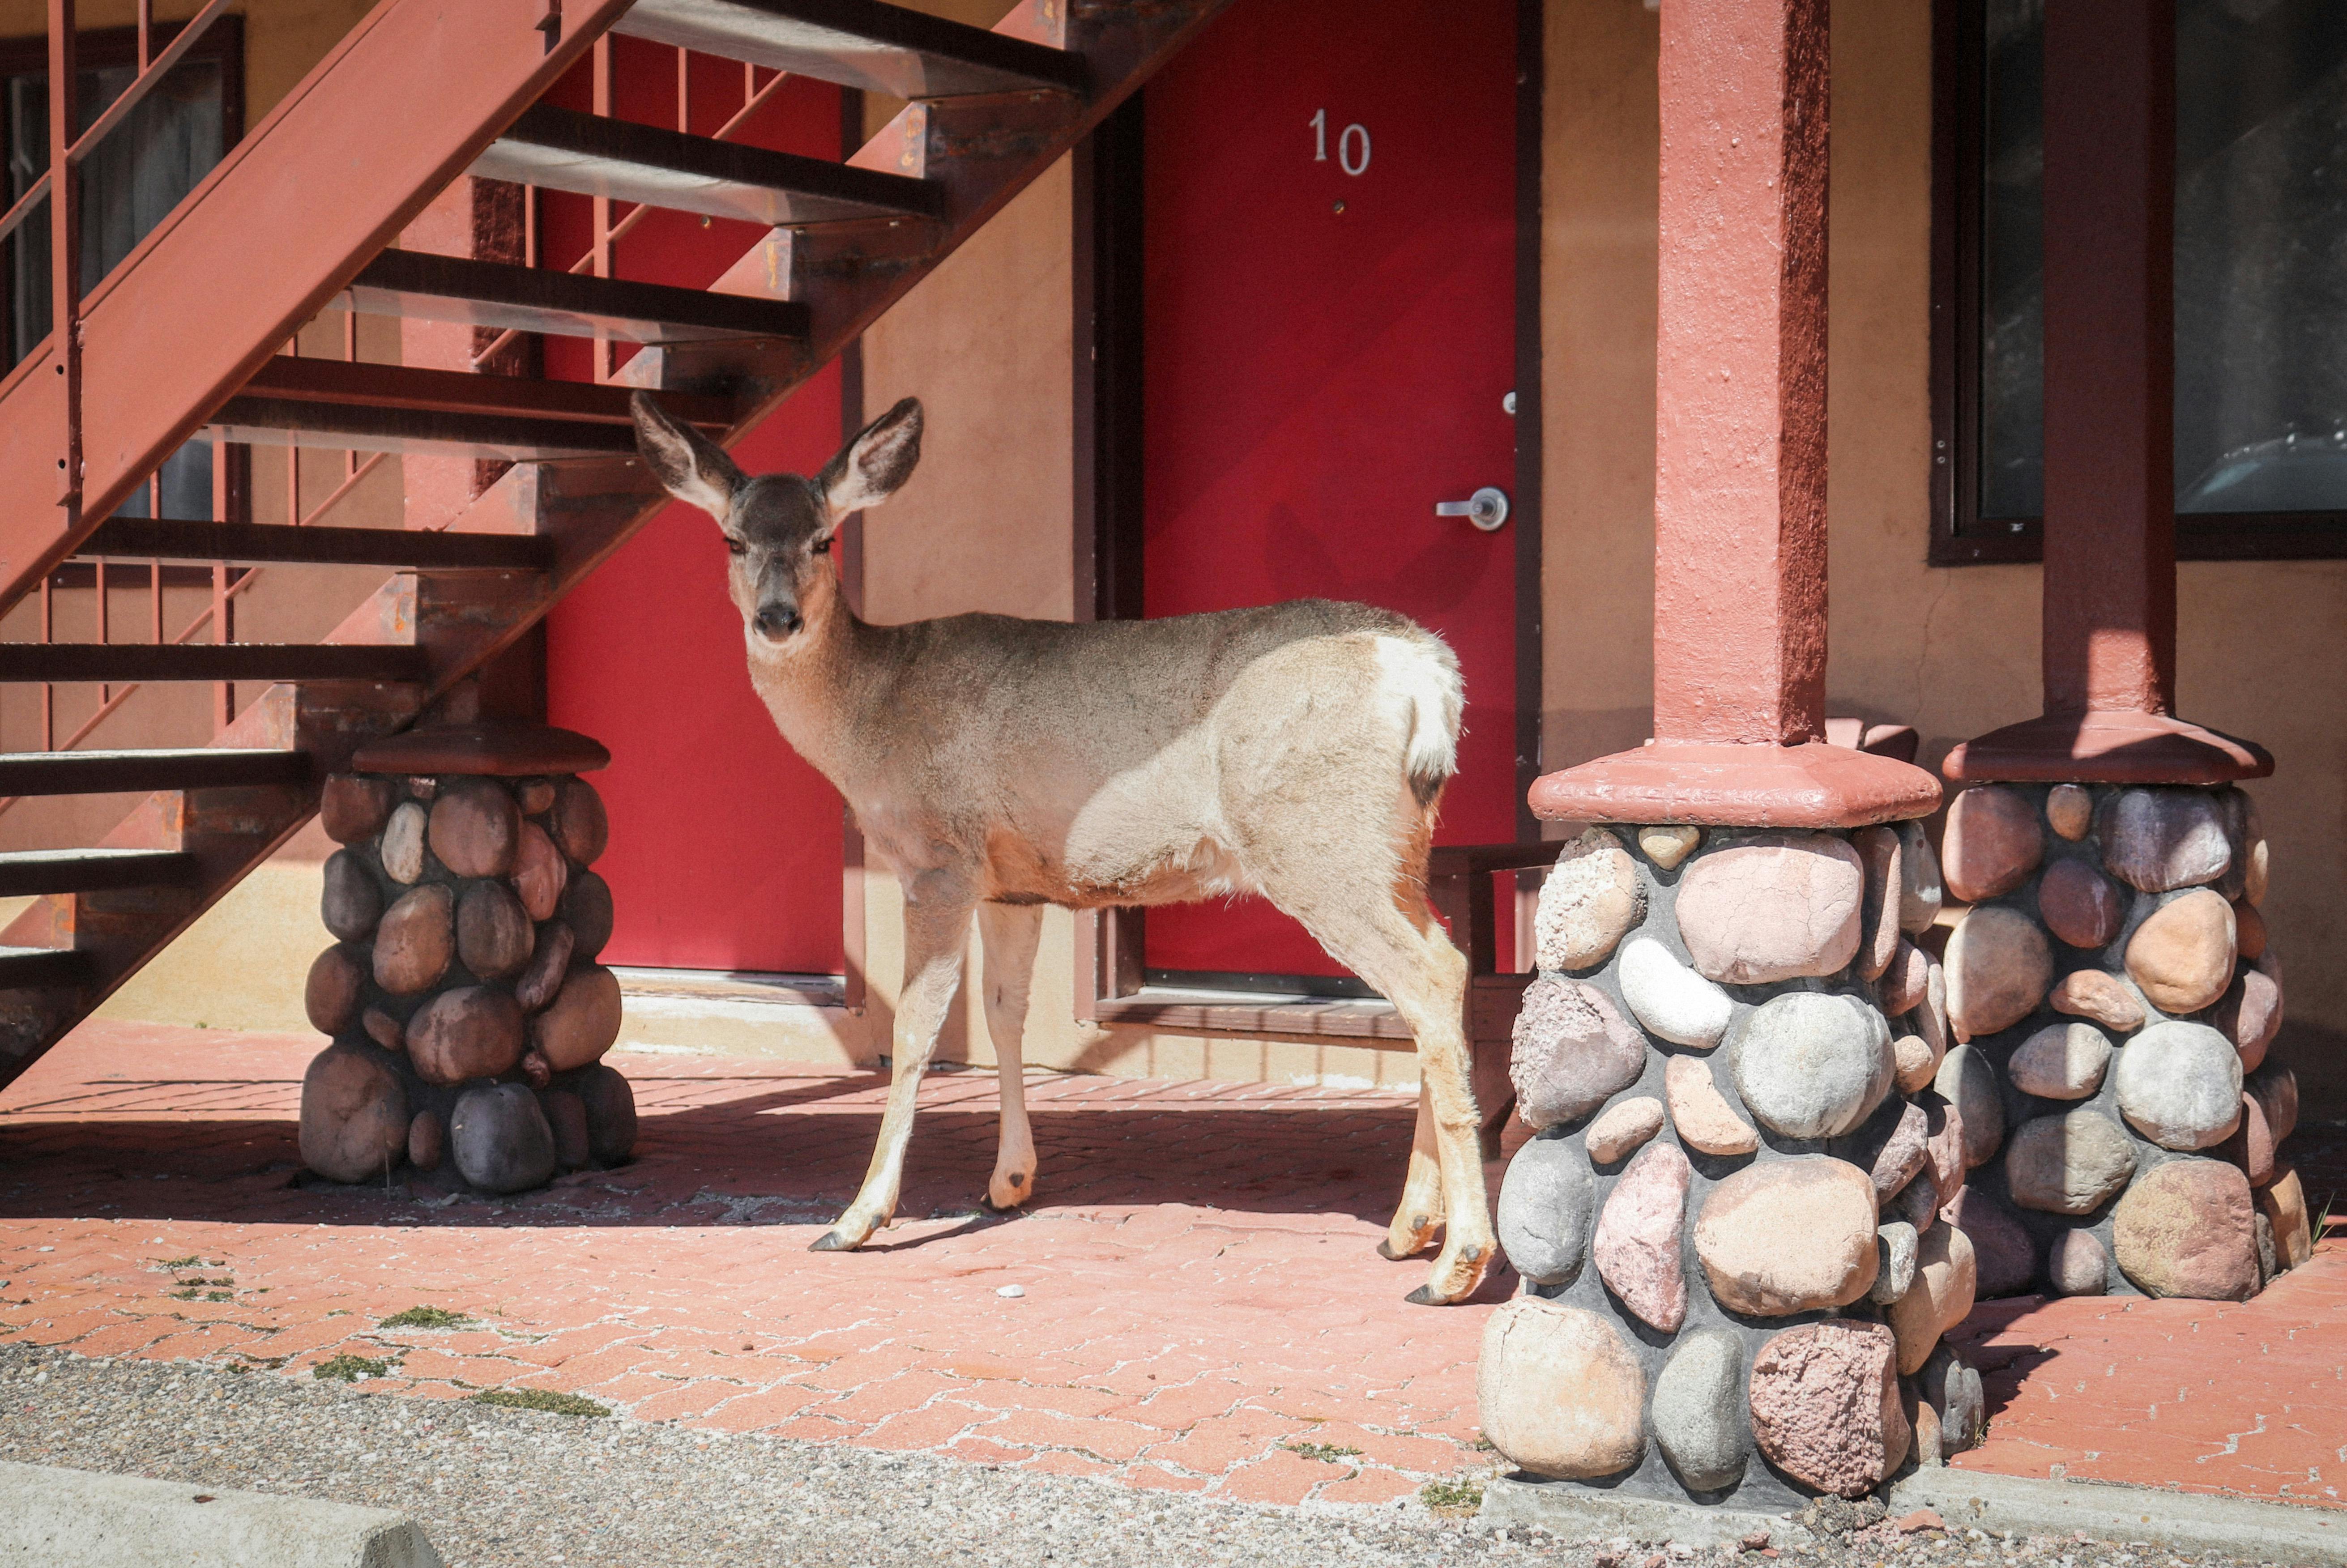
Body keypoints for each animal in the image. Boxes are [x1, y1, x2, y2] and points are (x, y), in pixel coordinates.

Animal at [629, 391, 1497, 1305]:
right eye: (733, 539)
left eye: (825, 537)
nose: (777, 619)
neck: (871, 716)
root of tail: (1426, 668)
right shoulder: (1012, 884)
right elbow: (1004, 1013)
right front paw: (1008, 1182)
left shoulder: (938, 859)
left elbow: (916, 1026)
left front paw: (857, 1216)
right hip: (1396, 847)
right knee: (1444, 970)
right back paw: (1408, 1230)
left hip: (1316, 841)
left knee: (1427, 979)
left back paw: (1456, 1264)